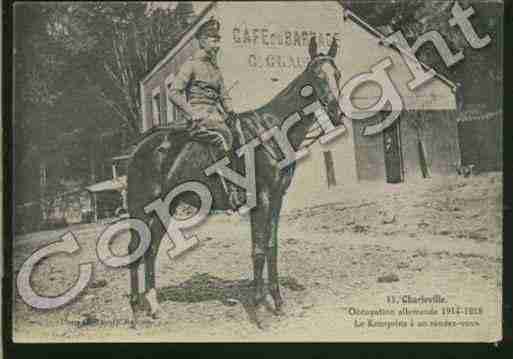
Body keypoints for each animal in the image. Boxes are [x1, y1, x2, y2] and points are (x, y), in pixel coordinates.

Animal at [126, 37, 346, 326]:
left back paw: (153, 306)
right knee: (135, 248)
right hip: (141, 208)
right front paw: (260, 309)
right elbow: (258, 249)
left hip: (166, 209)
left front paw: (277, 302)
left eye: (337, 74)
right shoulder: (261, 199)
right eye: (316, 75)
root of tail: (139, 147)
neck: (271, 131)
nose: (337, 113)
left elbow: (271, 247)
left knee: (150, 249)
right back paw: (135, 311)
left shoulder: (277, 198)